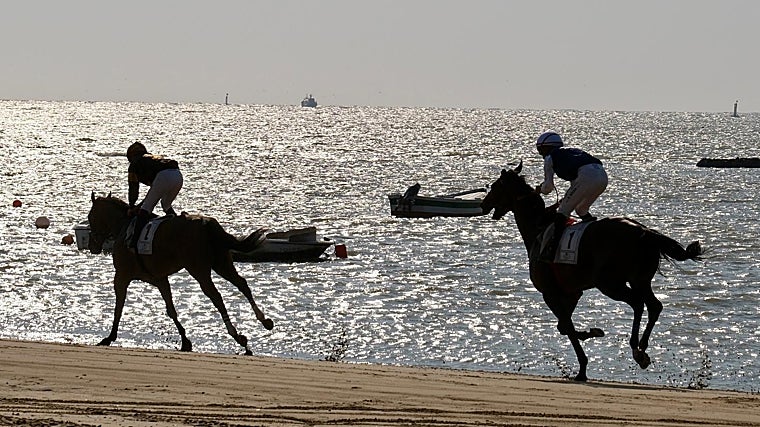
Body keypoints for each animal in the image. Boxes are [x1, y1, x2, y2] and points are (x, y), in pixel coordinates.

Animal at [87, 192, 274, 355]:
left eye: (90, 217)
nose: (92, 246)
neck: (122, 225)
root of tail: (206, 224)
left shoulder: (121, 276)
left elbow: (118, 307)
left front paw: (110, 337)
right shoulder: (159, 279)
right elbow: (171, 309)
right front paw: (185, 341)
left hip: (198, 269)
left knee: (216, 296)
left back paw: (237, 336)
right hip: (222, 263)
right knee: (242, 284)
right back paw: (264, 322)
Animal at [480, 162, 702, 381]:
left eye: (495, 186)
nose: (483, 204)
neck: (538, 229)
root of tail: (644, 231)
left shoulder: (550, 293)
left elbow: (567, 327)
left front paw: (582, 369)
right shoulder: (572, 292)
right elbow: (563, 326)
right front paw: (594, 332)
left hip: (609, 283)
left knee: (638, 303)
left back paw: (635, 348)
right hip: (640, 280)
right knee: (654, 306)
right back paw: (642, 349)